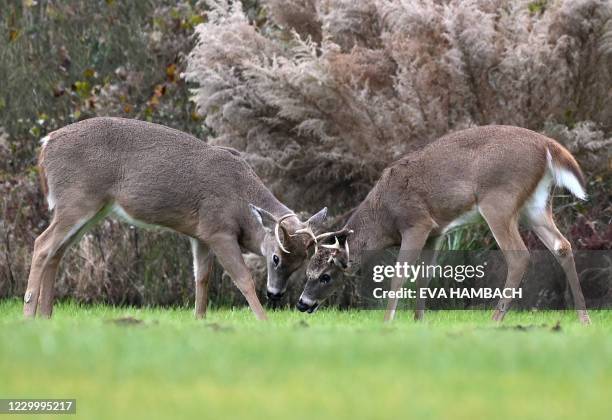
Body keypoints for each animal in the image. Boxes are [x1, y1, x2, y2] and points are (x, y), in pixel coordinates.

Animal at [25, 116, 328, 320]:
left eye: (301, 263)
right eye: (275, 257)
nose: (276, 294)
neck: (241, 201)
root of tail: (46, 144)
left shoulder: (201, 235)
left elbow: (201, 279)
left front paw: (200, 320)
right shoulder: (219, 229)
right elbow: (242, 278)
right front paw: (263, 321)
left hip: (91, 208)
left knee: (57, 251)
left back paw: (46, 316)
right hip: (77, 200)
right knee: (42, 244)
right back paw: (29, 315)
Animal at [298, 124, 592, 324]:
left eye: (325, 276)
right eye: (307, 273)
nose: (302, 303)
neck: (384, 216)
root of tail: (548, 145)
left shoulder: (417, 222)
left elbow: (400, 273)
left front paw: (387, 321)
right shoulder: (436, 232)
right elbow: (424, 275)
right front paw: (419, 321)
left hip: (499, 200)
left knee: (520, 256)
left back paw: (495, 319)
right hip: (535, 205)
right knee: (562, 245)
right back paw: (584, 318)